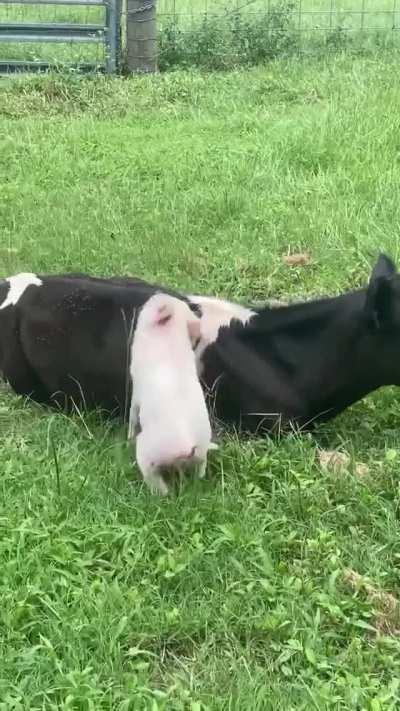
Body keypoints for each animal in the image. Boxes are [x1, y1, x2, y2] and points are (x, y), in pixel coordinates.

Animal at [129, 293, 217, 496]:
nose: (155, 295)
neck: (170, 335)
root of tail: (188, 445)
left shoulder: (136, 386)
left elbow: (132, 414)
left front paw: (128, 438)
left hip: (147, 453)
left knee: (157, 483)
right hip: (200, 457)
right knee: (201, 470)